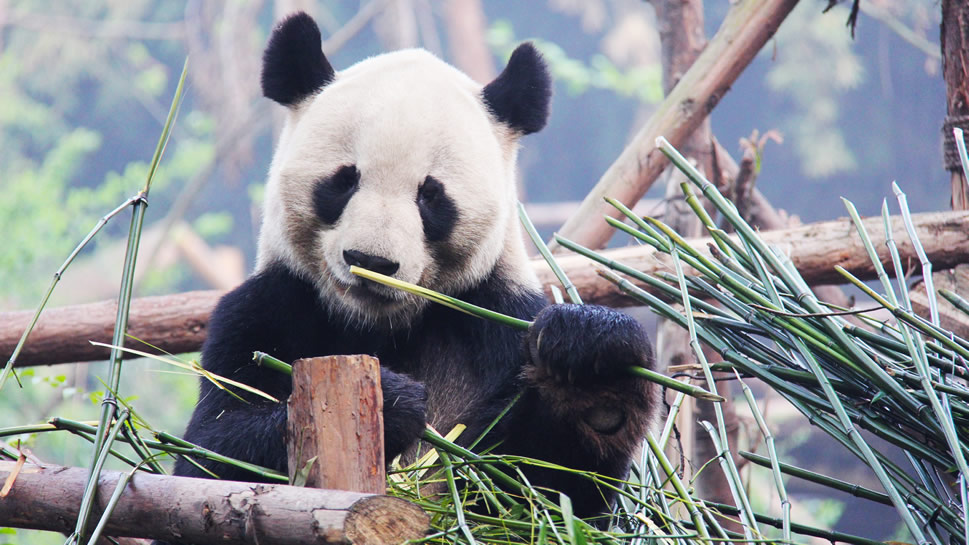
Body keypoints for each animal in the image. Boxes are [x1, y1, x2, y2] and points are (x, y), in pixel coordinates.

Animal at [172, 10, 656, 532]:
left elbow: (543, 494)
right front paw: (393, 402)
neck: (381, 325)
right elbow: (208, 454)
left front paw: (592, 367)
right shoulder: (265, 308)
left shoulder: (497, 317)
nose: (371, 261)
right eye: (343, 181)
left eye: (431, 195)